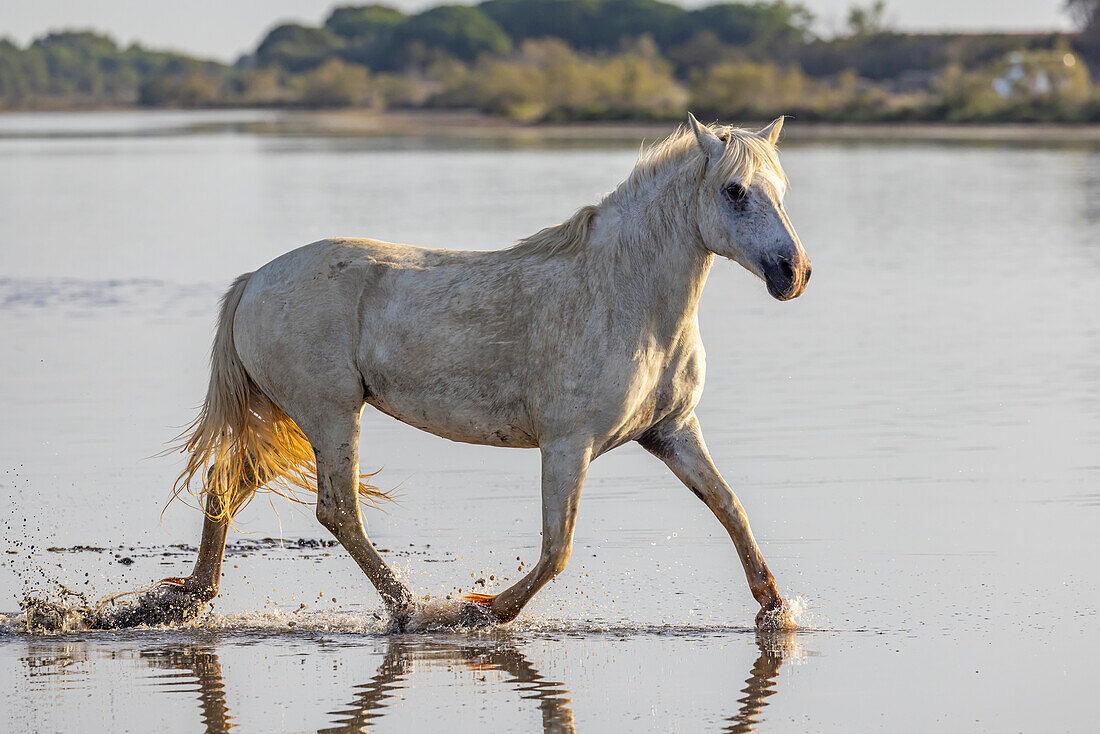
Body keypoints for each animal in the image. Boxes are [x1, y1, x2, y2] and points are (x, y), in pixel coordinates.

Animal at [124, 114, 814, 633]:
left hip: (295, 417)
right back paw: (414, 611)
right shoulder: (569, 445)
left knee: (228, 485)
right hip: (330, 413)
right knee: (337, 511)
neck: (625, 296)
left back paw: (183, 601)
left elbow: (729, 507)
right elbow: (557, 549)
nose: (794, 273)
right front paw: (481, 612)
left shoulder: (671, 431)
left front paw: (776, 608)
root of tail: (253, 282)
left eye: (781, 188)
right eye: (734, 190)